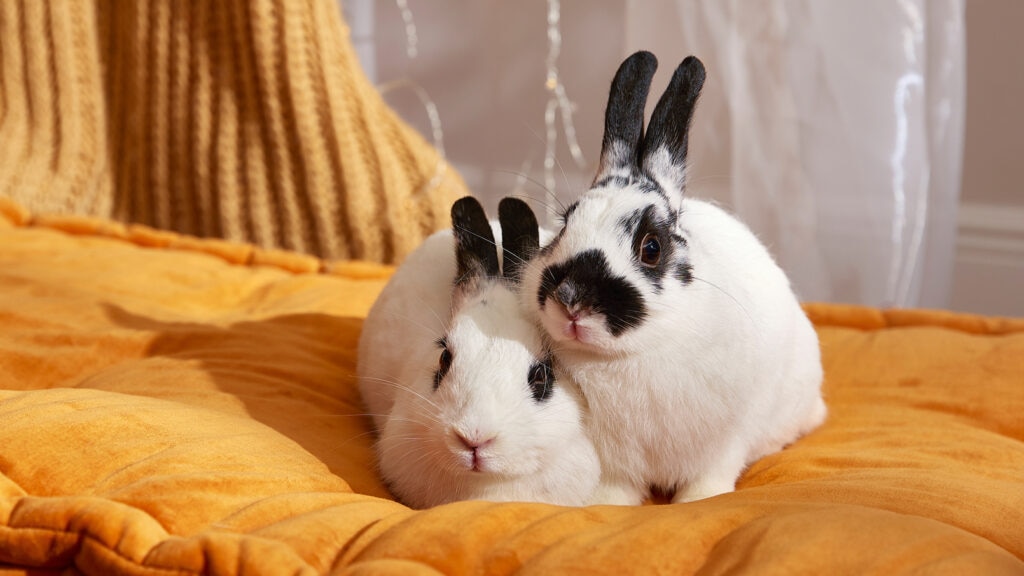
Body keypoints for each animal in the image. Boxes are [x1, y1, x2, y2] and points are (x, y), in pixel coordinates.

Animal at [520, 51, 827, 506]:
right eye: (564, 225)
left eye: (651, 248)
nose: (571, 299)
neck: (630, 356)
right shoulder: (615, 459)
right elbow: (616, 487)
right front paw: (604, 505)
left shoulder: (722, 443)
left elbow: (708, 478)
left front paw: (699, 502)